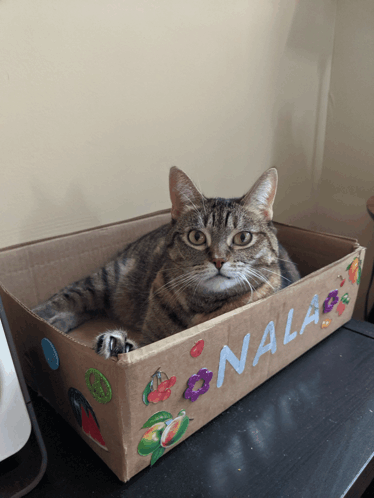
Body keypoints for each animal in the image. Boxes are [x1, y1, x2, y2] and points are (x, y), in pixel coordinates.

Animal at [32, 167, 300, 358]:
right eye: (196, 237)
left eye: (243, 238)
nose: (218, 260)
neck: (204, 305)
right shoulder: (150, 340)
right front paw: (115, 345)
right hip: (102, 281)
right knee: (62, 299)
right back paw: (43, 319)